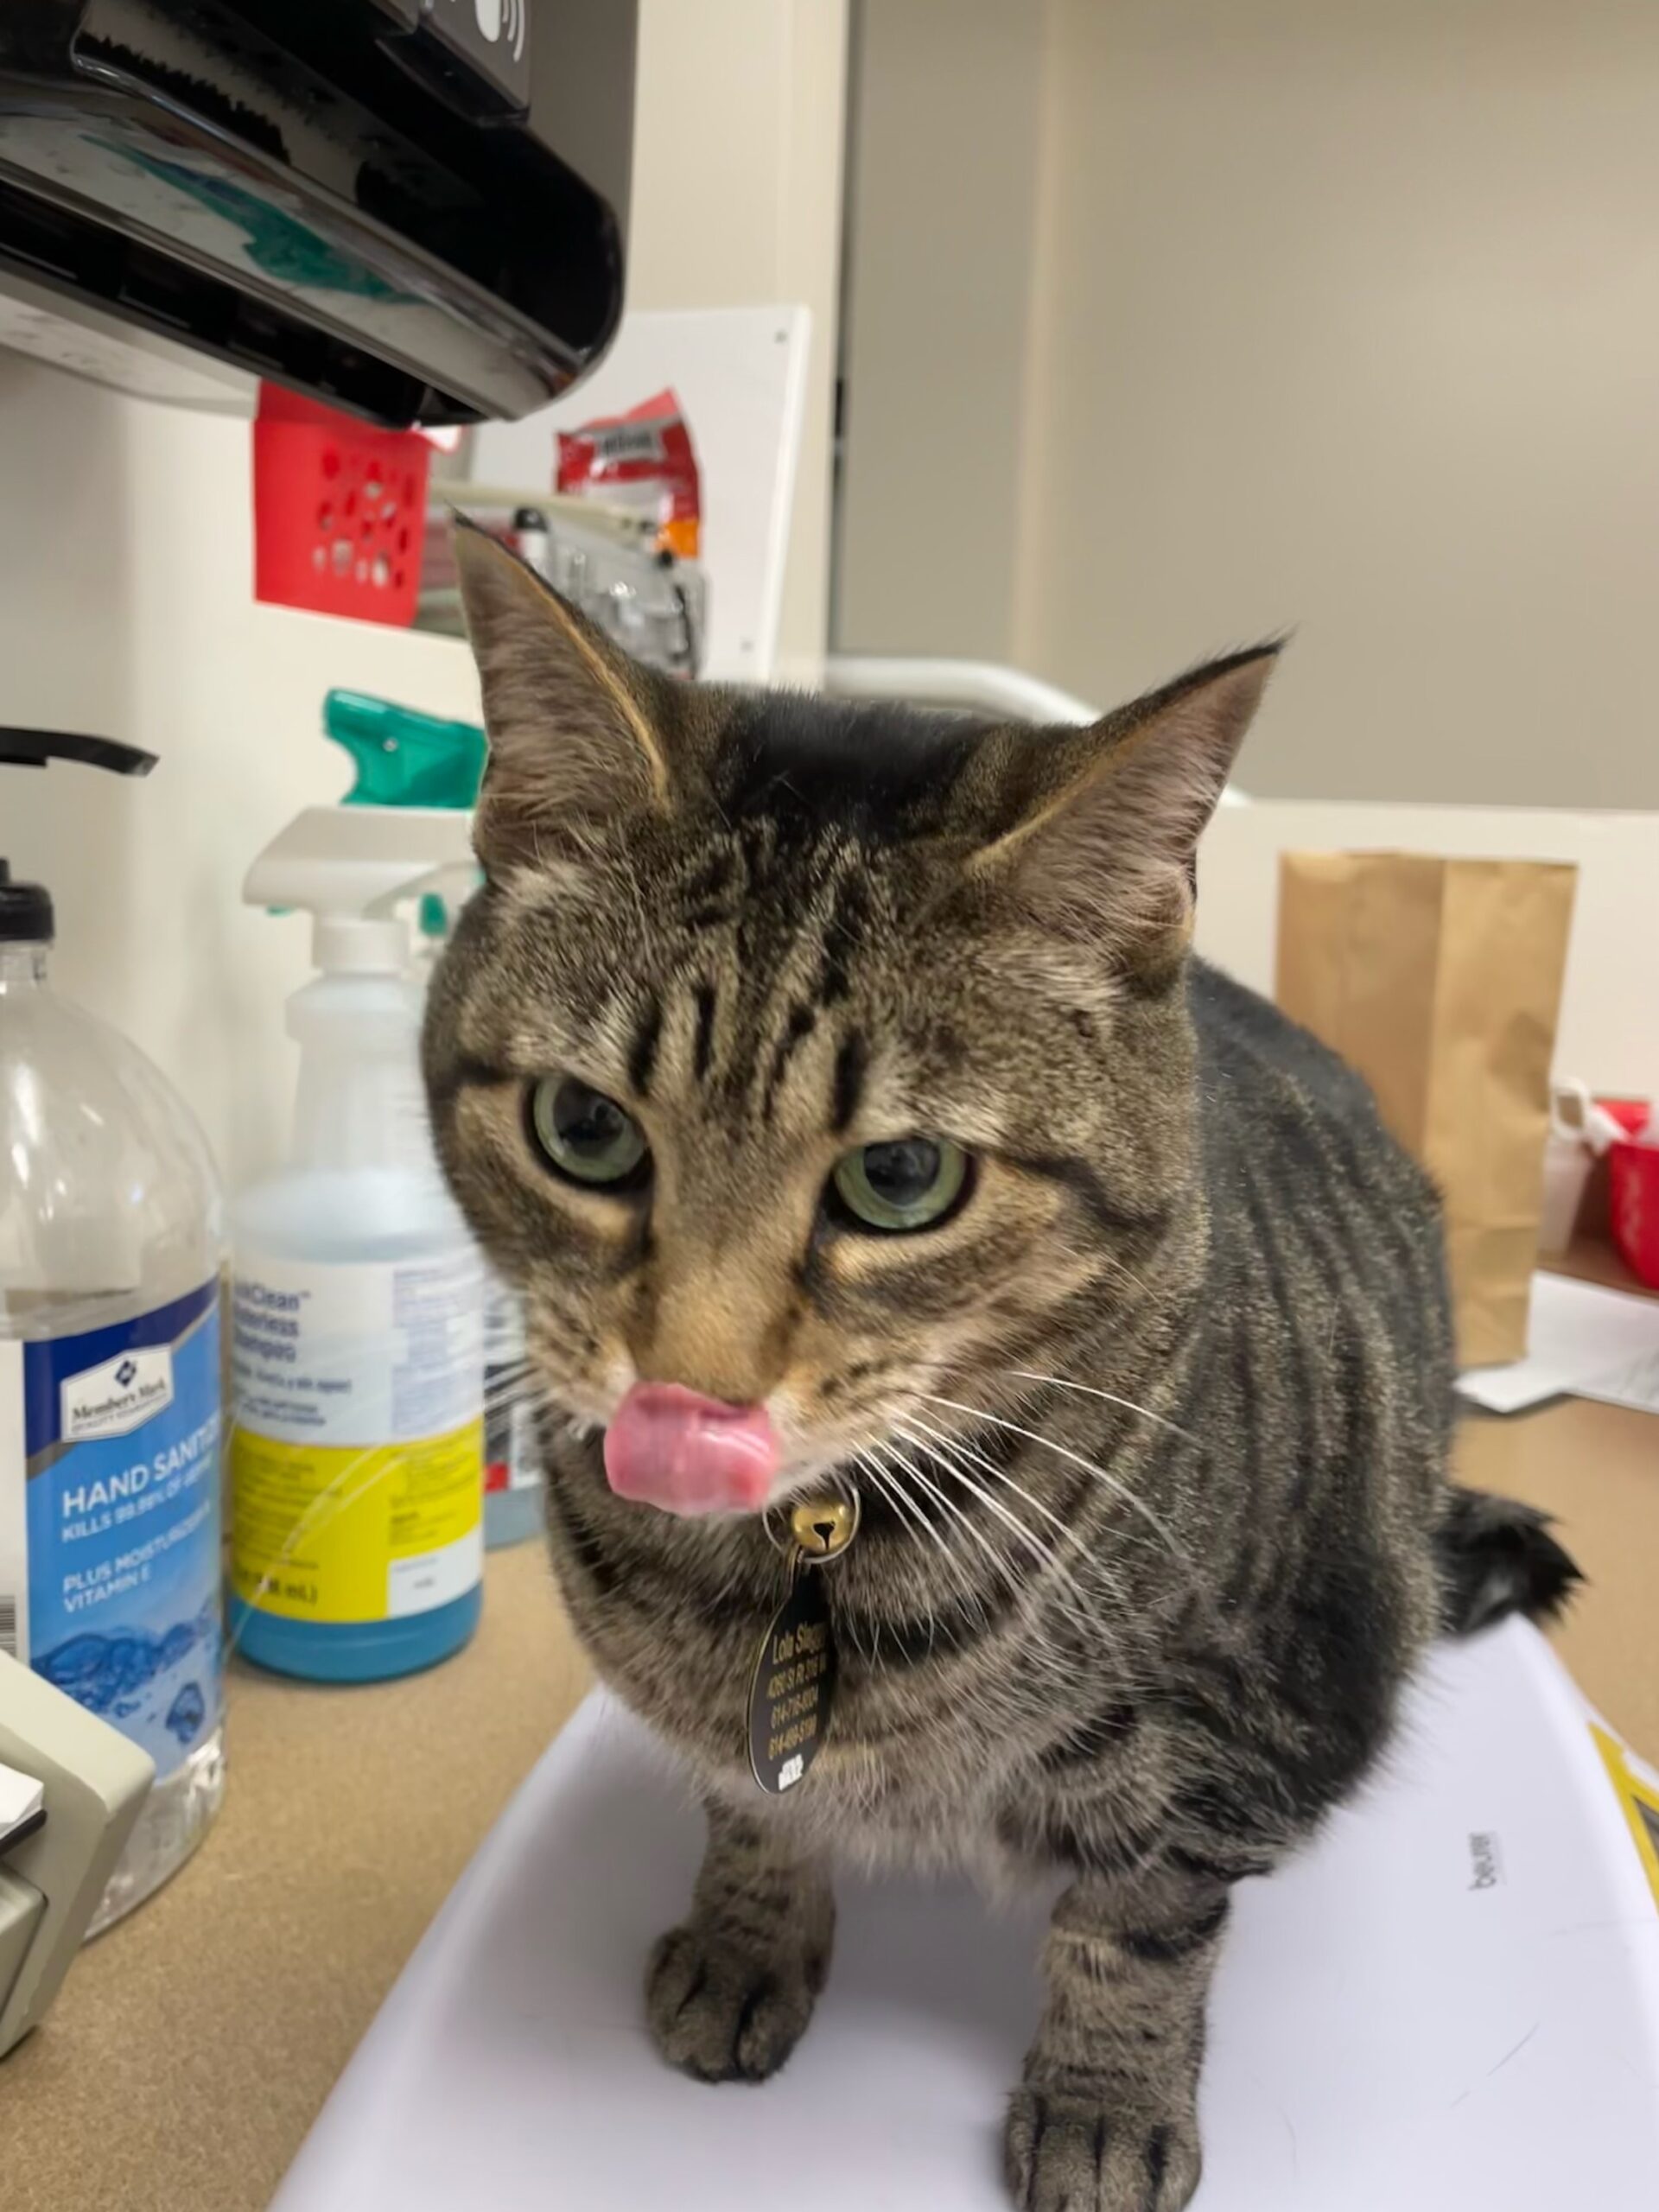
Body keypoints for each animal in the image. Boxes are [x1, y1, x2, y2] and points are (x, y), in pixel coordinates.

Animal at [422, 526, 1574, 2202]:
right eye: (584, 1129)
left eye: (901, 1178)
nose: (685, 1391)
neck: (799, 1564)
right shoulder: (720, 1732)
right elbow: (750, 1813)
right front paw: (743, 1945)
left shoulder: (1230, 1735)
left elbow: (1138, 1931)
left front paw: (1104, 2108)